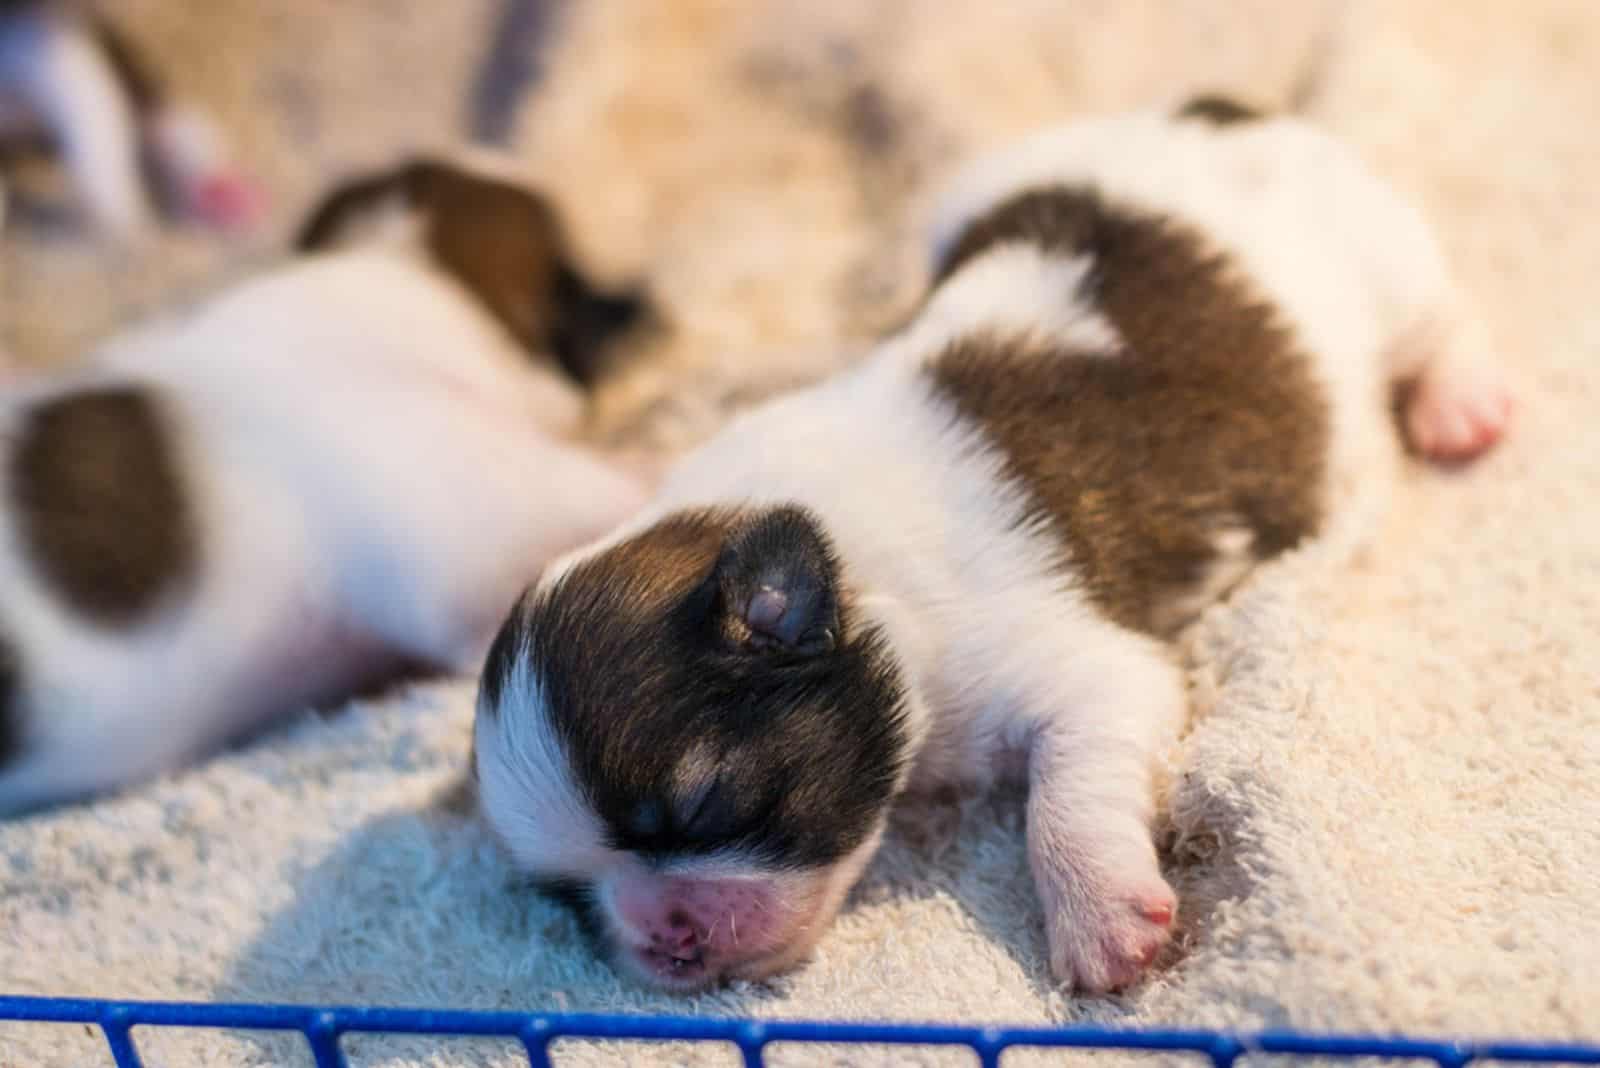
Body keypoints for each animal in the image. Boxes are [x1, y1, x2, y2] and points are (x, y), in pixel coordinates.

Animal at [470, 97, 1510, 991]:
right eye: (567, 896)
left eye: (705, 805)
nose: (665, 938)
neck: (854, 565)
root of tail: (1209, 112)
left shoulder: (1086, 672)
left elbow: (1063, 802)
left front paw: (1103, 923)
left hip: (1383, 255)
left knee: (1441, 319)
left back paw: (1459, 405)